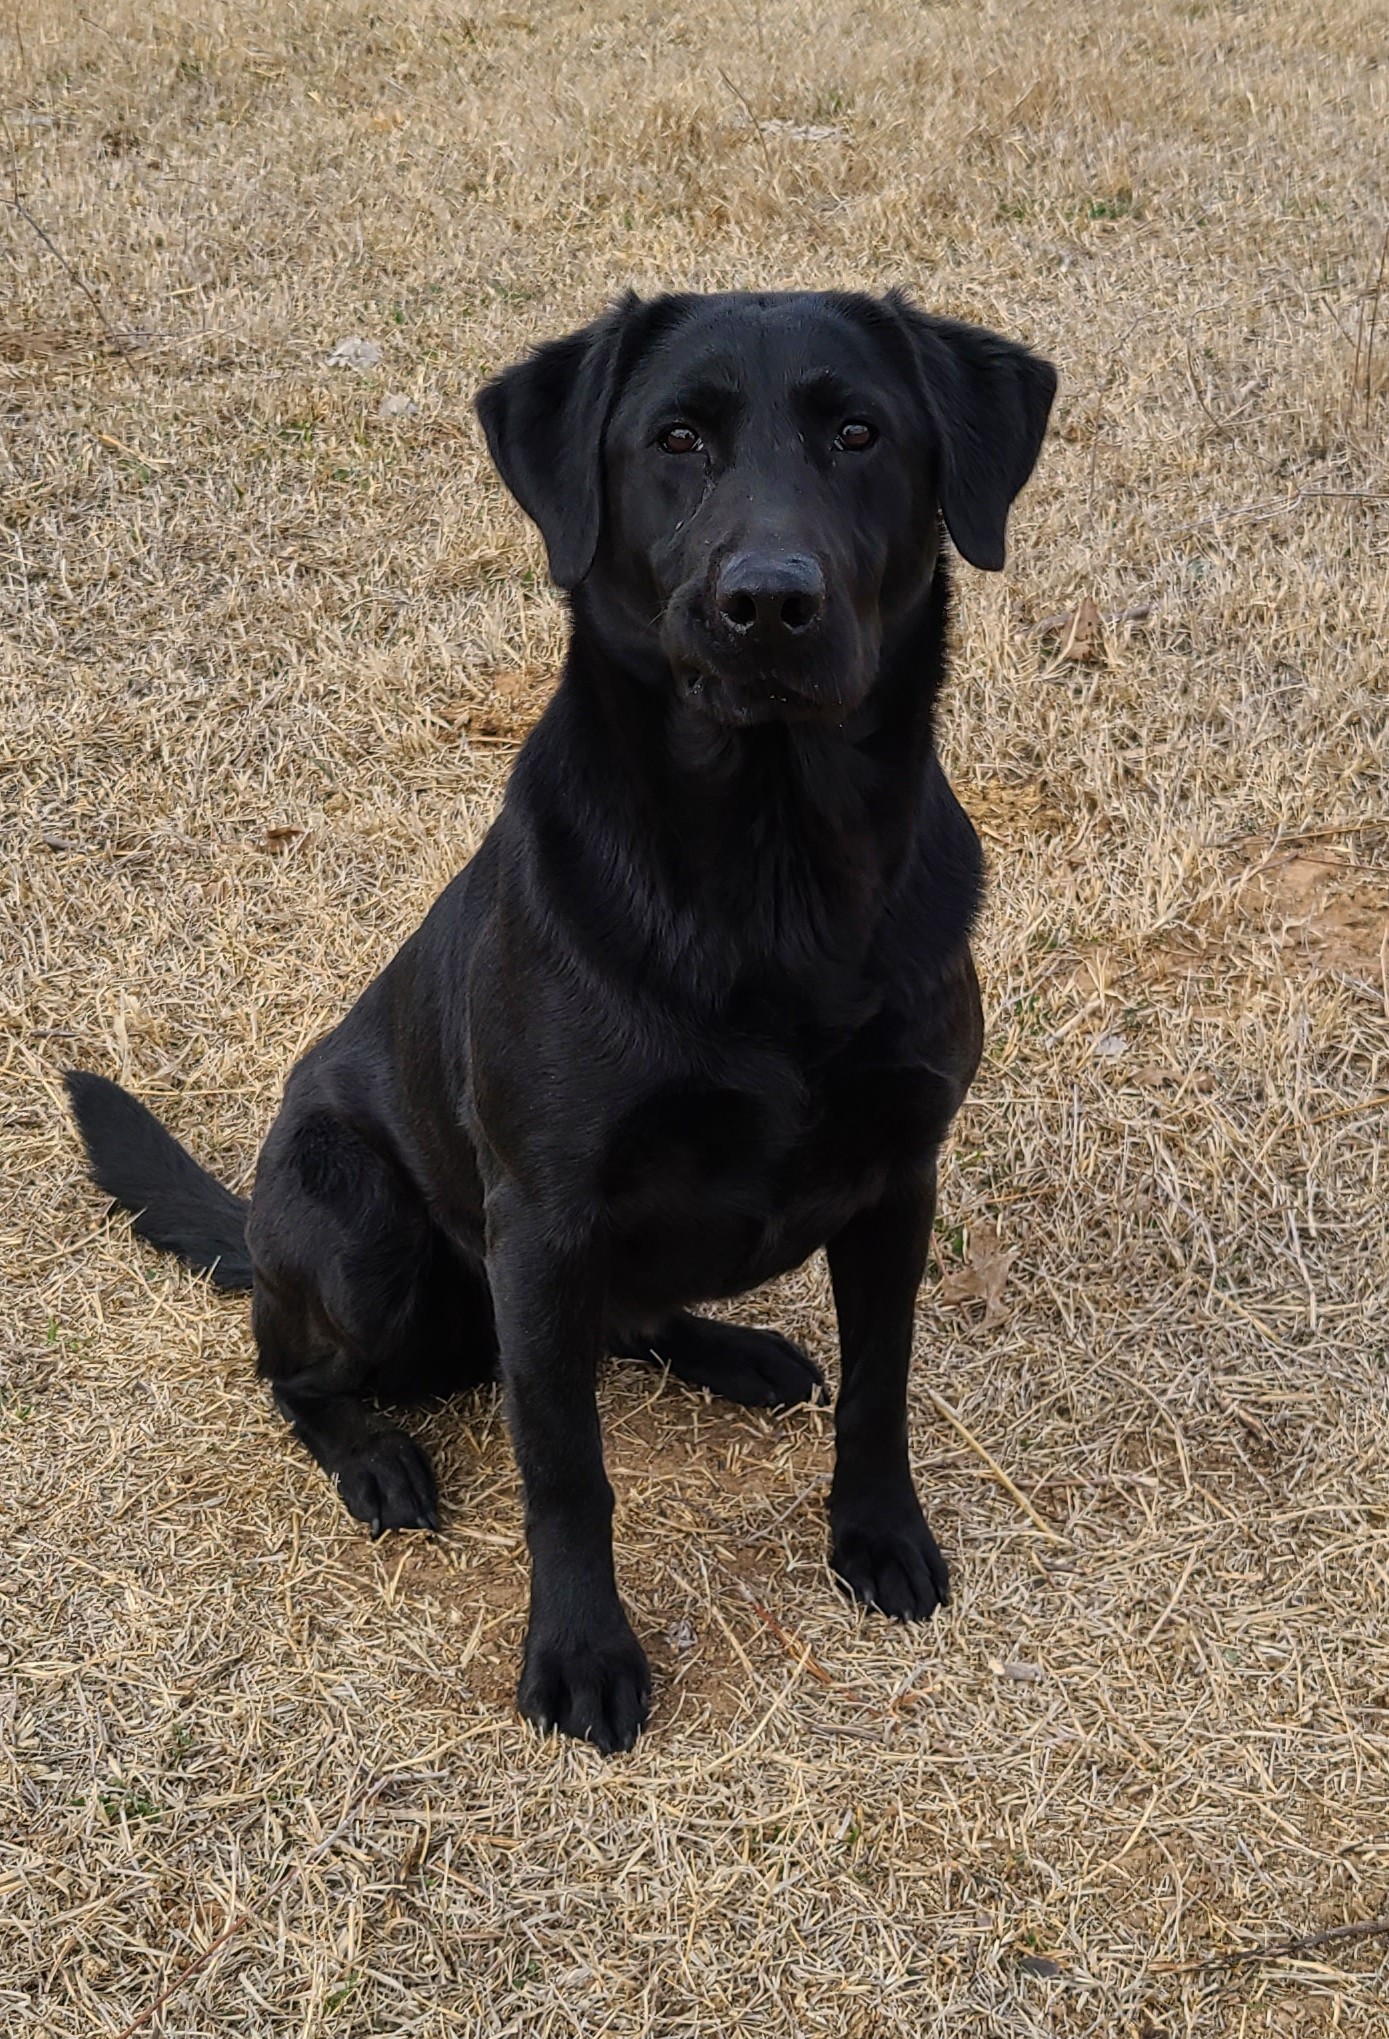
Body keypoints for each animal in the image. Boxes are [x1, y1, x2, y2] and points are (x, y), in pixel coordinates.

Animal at [65, 287, 1052, 1753]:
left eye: (860, 434)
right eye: (678, 438)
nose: (767, 602)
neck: (773, 875)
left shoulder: (898, 1179)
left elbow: (881, 1386)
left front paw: (878, 1536)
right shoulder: (542, 1217)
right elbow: (565, 1470)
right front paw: (582, 1650)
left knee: (632, 1320)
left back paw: (735, 1348)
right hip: (360, 1233)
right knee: (293, 1373)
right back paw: (375, 1457)